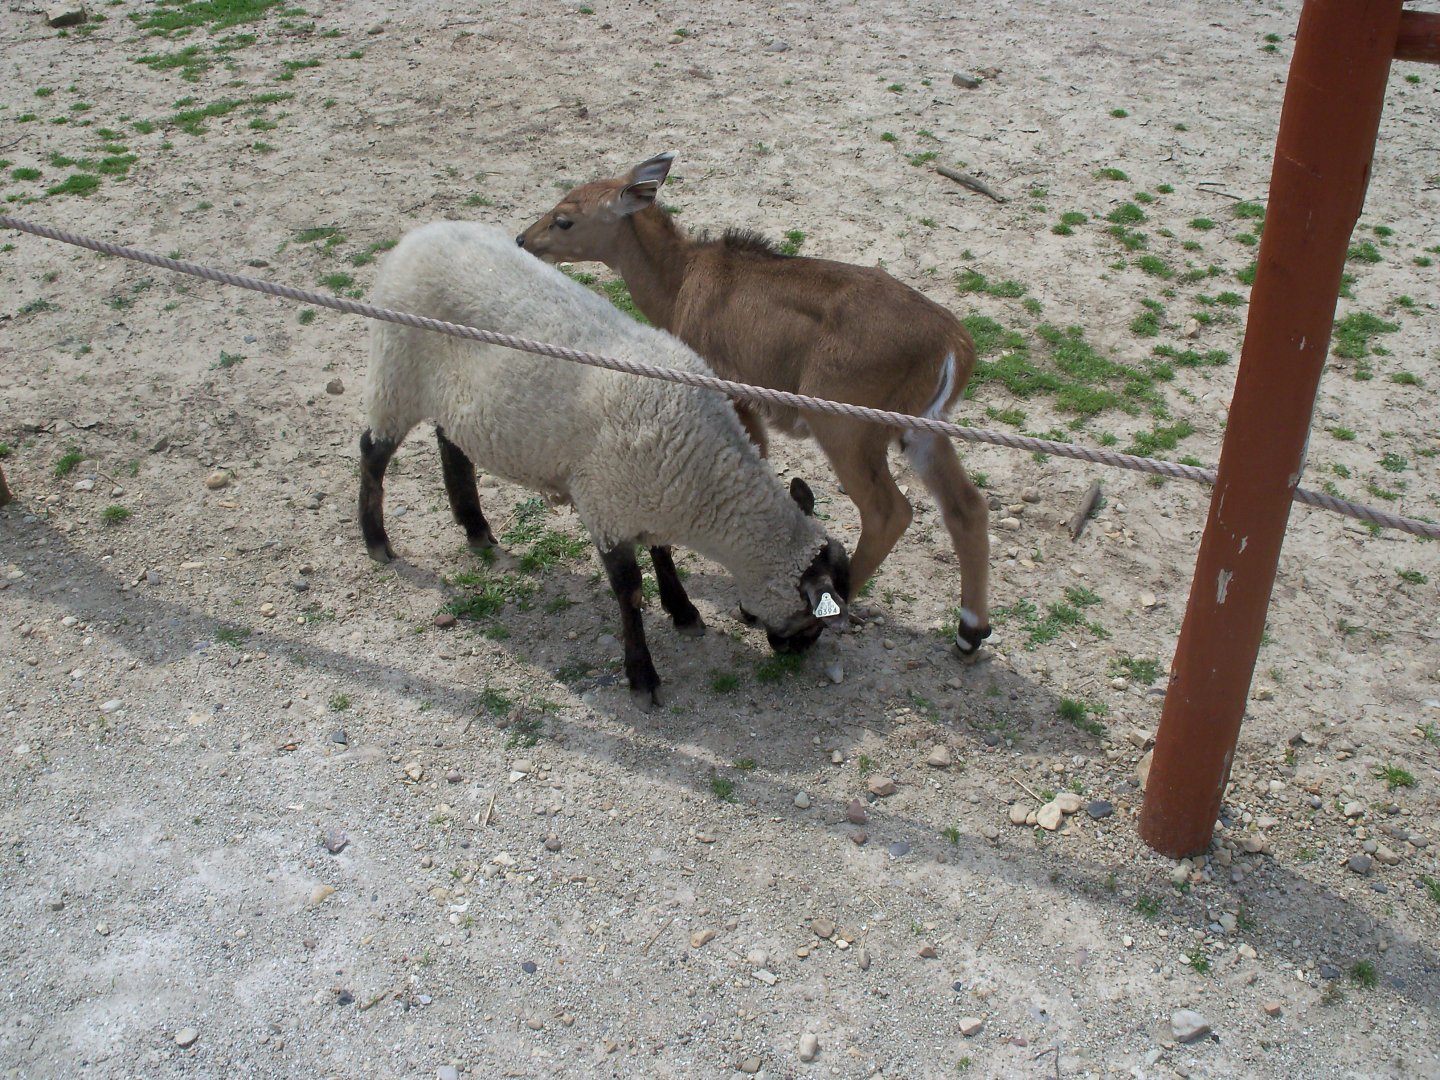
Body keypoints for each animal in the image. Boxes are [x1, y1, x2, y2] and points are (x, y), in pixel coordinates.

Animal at [359, 221, 850, 708]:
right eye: (816, 617)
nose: (797, 651)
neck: (705, 472)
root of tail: (422, 234)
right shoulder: (607, 506)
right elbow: (629, 592)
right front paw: (642, 676)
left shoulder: (651, 493)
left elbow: (664, 555)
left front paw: (683, 611)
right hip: (395, 370)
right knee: (372, 452)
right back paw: (377, 541)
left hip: (452, 397)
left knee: (451, 444)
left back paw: (475, 527)